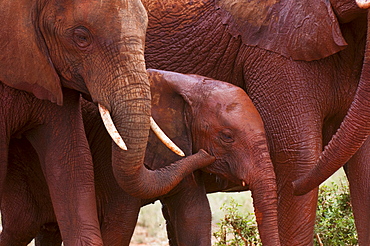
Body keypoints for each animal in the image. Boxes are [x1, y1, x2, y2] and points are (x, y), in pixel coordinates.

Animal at [0, 68, 278, 245]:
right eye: (227, 137)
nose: (205, 154)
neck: (187, 84)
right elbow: (120, 226)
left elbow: (195, 215)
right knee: (21, 225)